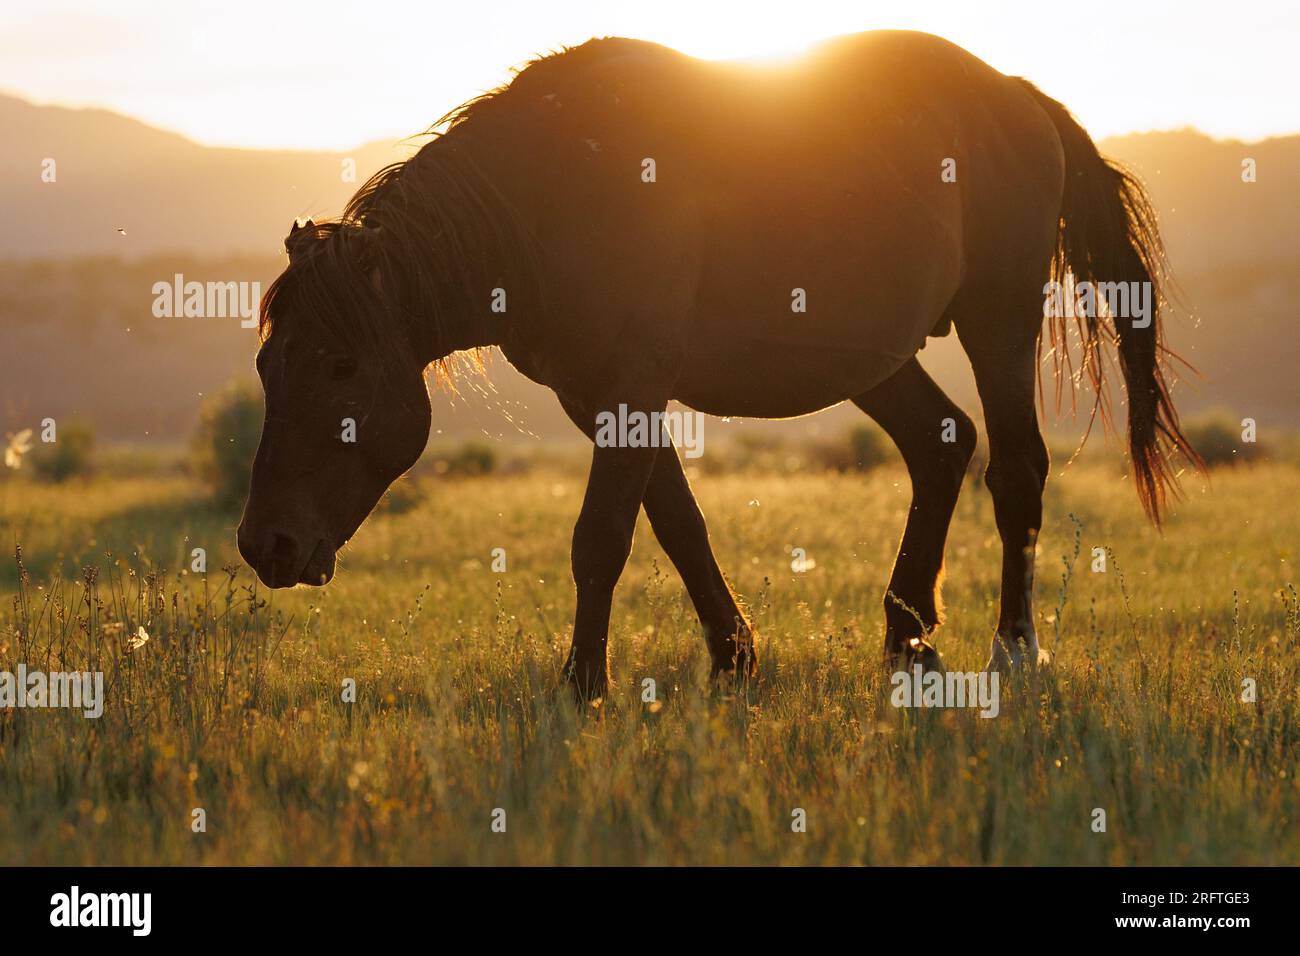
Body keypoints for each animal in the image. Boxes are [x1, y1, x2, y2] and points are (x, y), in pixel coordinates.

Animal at [236, 29, 1196, 697]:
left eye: (342, 368)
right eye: (269, 368)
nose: (264, 545)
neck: (552, 191)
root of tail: (1018, 97)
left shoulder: (630, 388)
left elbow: (601, 540)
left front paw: (582, 687)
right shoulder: (601, 396)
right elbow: (677, 527)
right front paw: (733, 660)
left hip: (998, 317)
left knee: (1017, 471)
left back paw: (1013, 650)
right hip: (874, 357)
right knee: (942, 443)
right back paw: (906, 639)